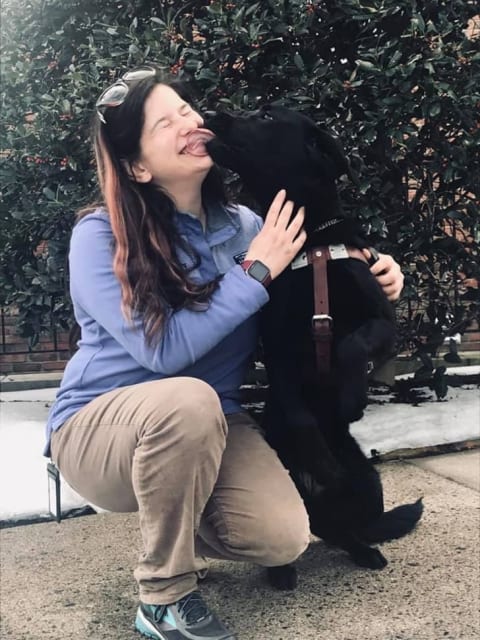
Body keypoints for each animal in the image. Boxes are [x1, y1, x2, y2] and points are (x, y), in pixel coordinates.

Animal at [204, 106, 422, 592]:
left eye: (267, 119)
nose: (213, 114)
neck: (311, 244)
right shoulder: (278, 351)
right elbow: (300, 414)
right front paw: (321, 460)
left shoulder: (384, 324)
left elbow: (352, 346)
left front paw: (351, 400)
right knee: (315, 532)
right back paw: (283, 568)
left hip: (370, 484)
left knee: (347, 530)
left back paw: (364, 551)